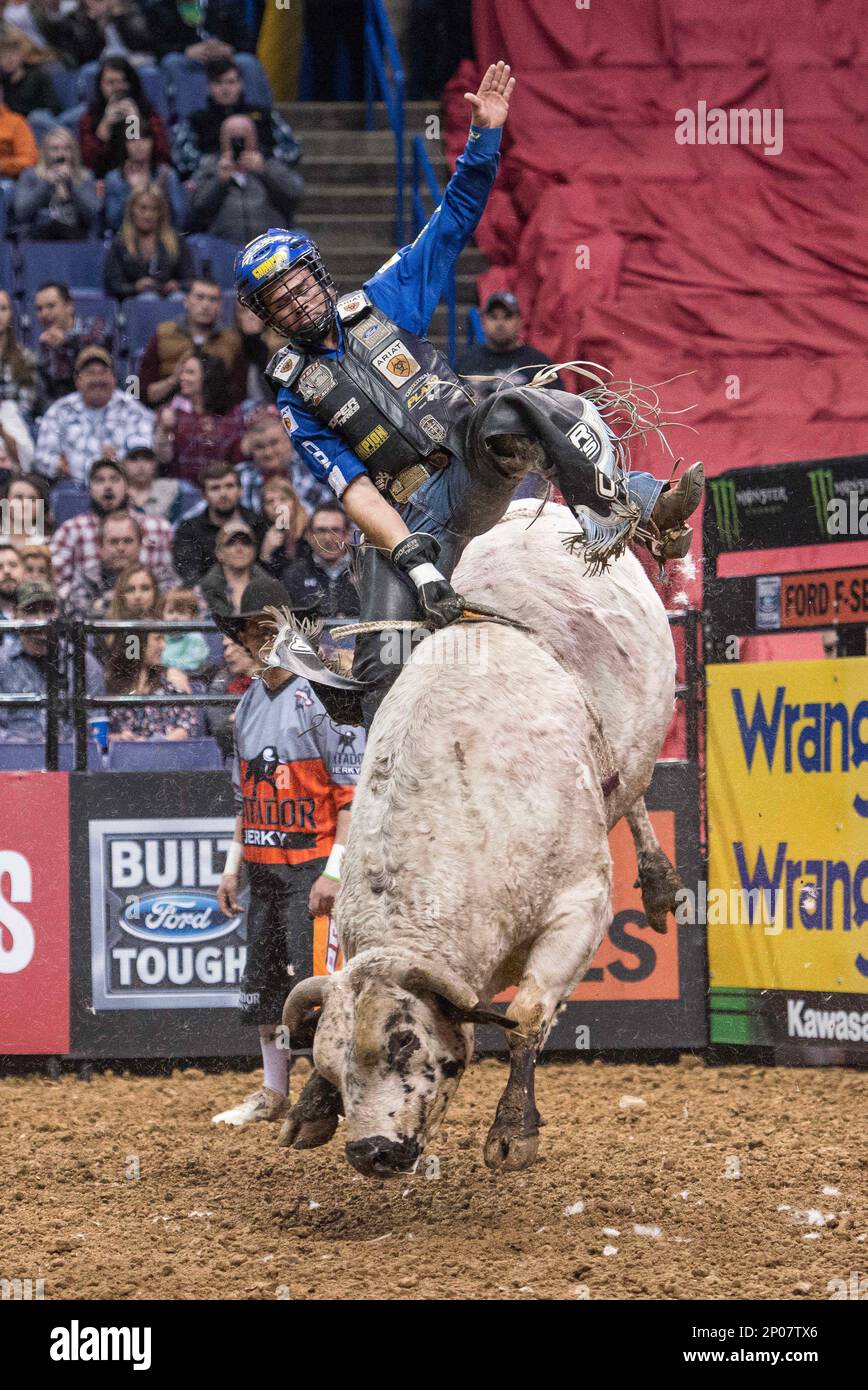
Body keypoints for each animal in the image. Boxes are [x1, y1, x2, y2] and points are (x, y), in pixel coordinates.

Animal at [278, 501, 680, 1176]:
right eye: (329, 1057)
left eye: (404, 1040)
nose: (370, 1151)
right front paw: (310, 1104)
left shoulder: (579, 906)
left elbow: (525, 1016)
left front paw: (515, 1129)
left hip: (643, 744)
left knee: (635, 792)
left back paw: (657, 883)